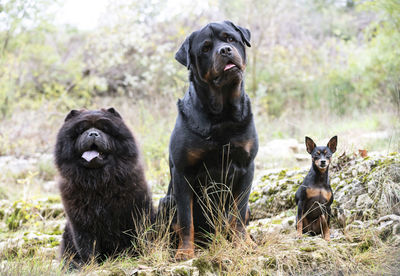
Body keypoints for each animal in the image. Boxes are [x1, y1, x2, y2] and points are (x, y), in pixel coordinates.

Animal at [158, 20, 258, 260]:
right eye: (205, 48)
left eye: (230, 38)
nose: (225, 50)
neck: (222, 115)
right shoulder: (182, 173)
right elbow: (186, 219)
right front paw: (185, 251)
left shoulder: (247, 166)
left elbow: (238, 213)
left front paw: (243, 244)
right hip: (165, 202)